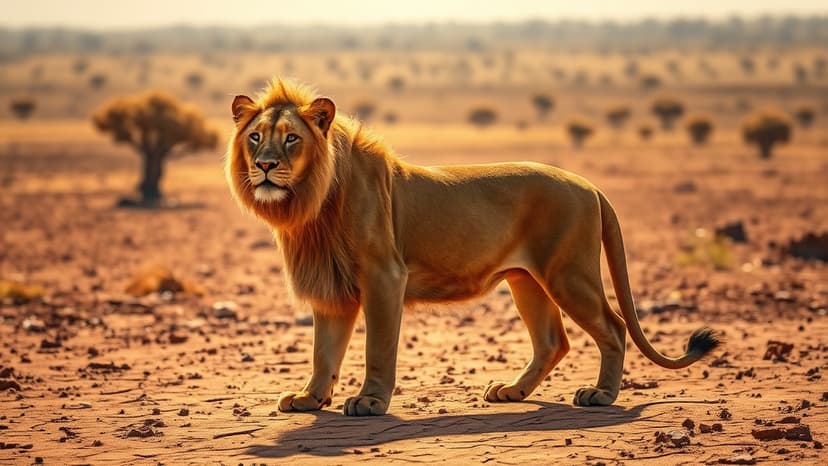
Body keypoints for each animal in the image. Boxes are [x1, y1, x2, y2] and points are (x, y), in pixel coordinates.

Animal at [225, 78, 720, 416]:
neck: (311, 204)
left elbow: (377, 347)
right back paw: (512, 392)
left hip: (568, 273)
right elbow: (324, 350)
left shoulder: (384, 275)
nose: (264, 165)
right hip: (527, 280)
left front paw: (370, 401)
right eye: (255, 137)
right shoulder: (333, 286)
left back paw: (600, 395)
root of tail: (589, 185)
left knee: (613, 327)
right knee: (552, 340)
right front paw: (310, 398)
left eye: (292, 138)